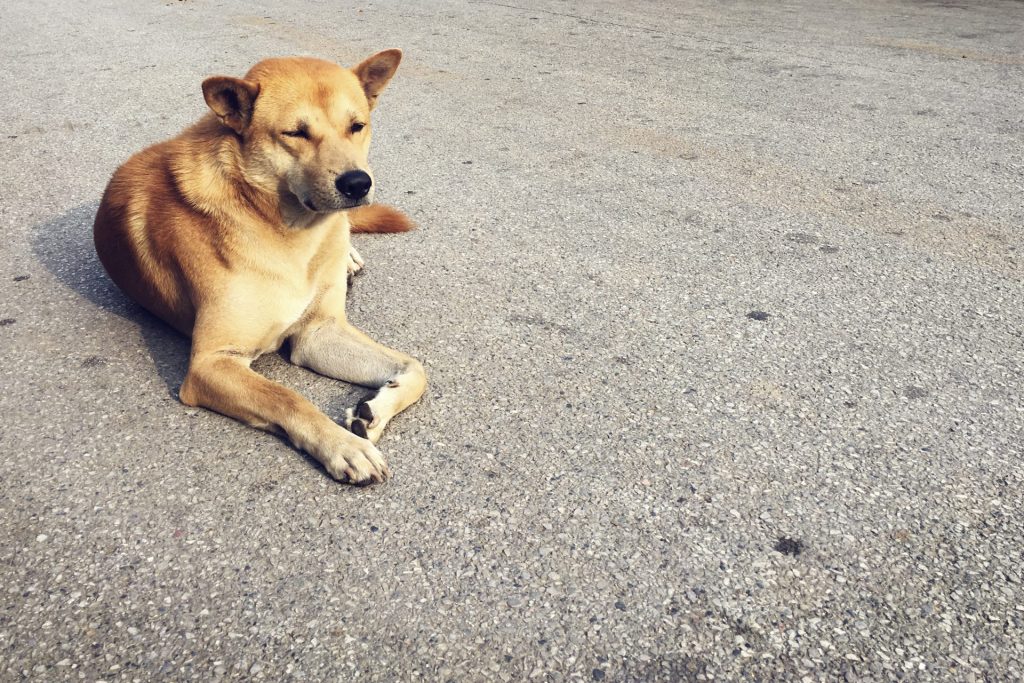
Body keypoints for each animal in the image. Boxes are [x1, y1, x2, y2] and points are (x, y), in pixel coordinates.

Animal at [95, 50, 428, 483]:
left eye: (357, 126)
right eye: (295, 133)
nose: (357, 183)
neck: (288, 233)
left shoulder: (318, 332)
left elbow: (417, 368)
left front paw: (375, 410)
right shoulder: (211, 363)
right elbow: (287, 397)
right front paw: (343, 445)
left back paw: (348, 257)